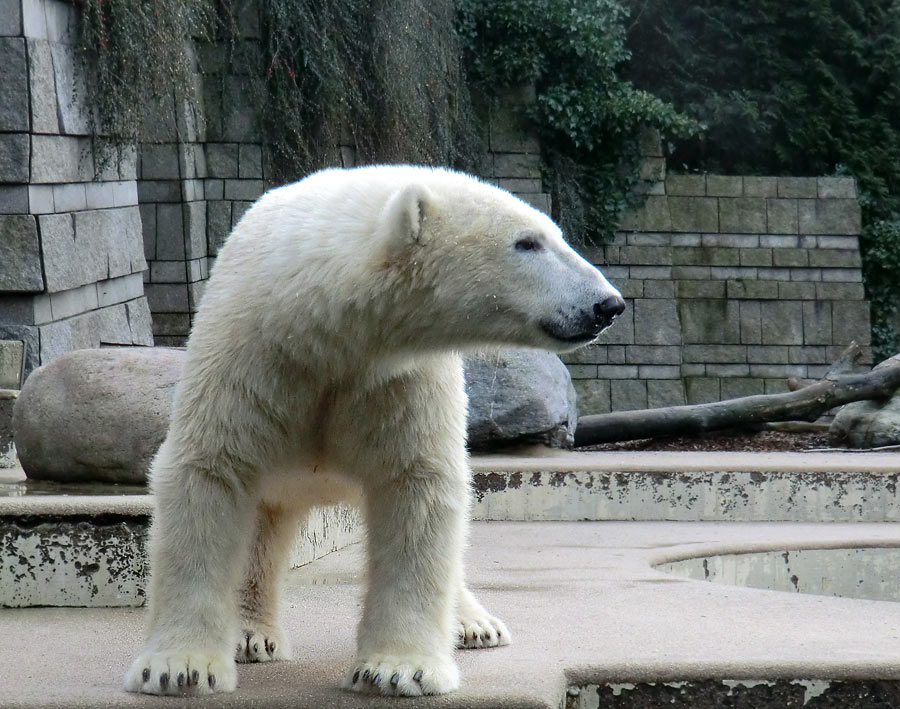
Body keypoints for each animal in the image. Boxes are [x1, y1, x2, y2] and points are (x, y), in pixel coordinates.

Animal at [123, 165, 624, 696]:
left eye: (556, 235)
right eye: (527, 242)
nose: (608, 304)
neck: (326, 327)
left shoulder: (399, 379)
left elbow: (417, 488)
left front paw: (399, 669)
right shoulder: (252, 357)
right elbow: (210, 473)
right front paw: (179, 667)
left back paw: (473, 623)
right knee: (263, 524)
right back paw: (250, 633)